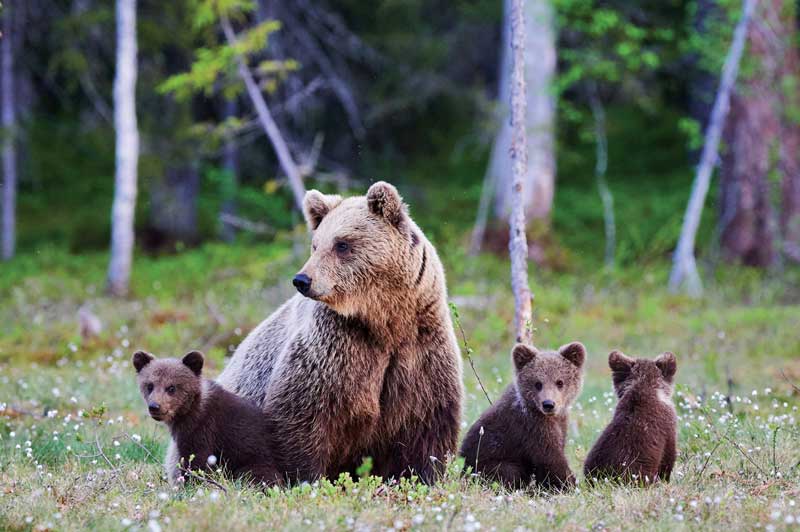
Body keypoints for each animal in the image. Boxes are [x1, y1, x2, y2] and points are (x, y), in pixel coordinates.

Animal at [179, 181, 462, 484]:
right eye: (315, 244)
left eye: (342, 244)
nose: (302, 279)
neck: (384, 321)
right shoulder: (335, 347)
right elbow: (303, 415)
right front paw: (305, 477)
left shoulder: (419, 349)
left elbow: (426, 425)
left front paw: (421, 475)